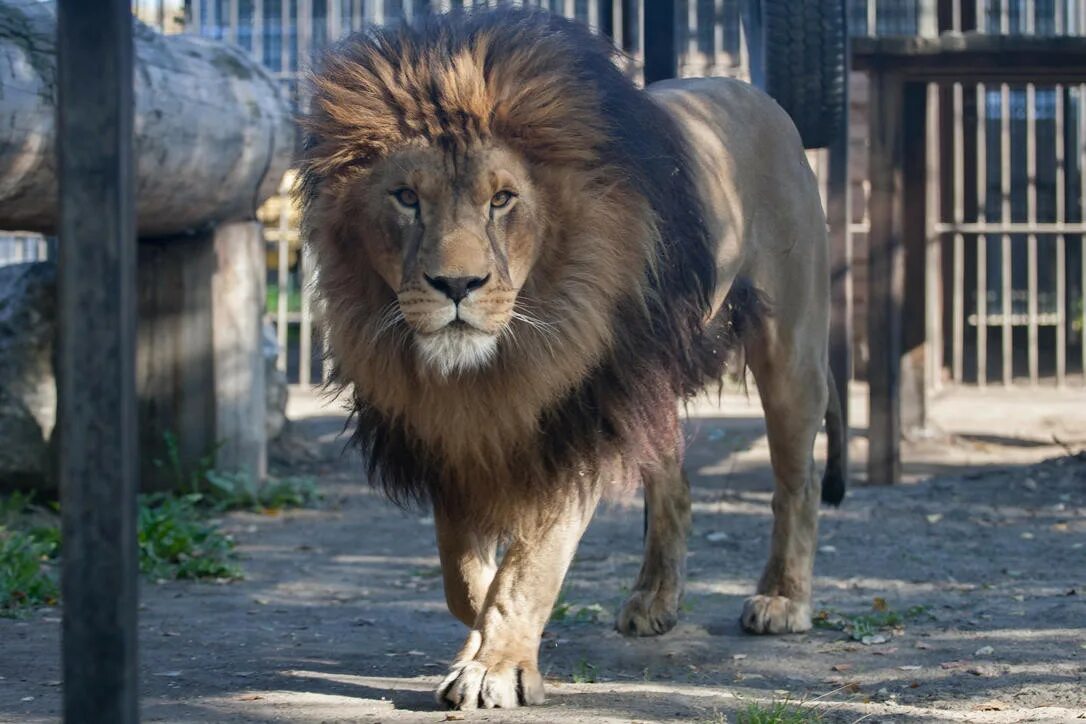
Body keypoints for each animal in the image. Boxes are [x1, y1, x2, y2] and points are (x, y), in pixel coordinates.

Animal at [299, 5, 847, 712]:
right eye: (406, 197)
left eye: (502, 199)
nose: (456, 285)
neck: (494, 362)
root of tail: (750, 91)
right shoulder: (447, 428)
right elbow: (463, 571)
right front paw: (481, 634)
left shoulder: (579, 413)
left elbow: (529, 563)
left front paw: (495, 665)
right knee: (674, 484)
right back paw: (655, 598)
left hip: (790, 352)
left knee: (795, 486)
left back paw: (782, 599)